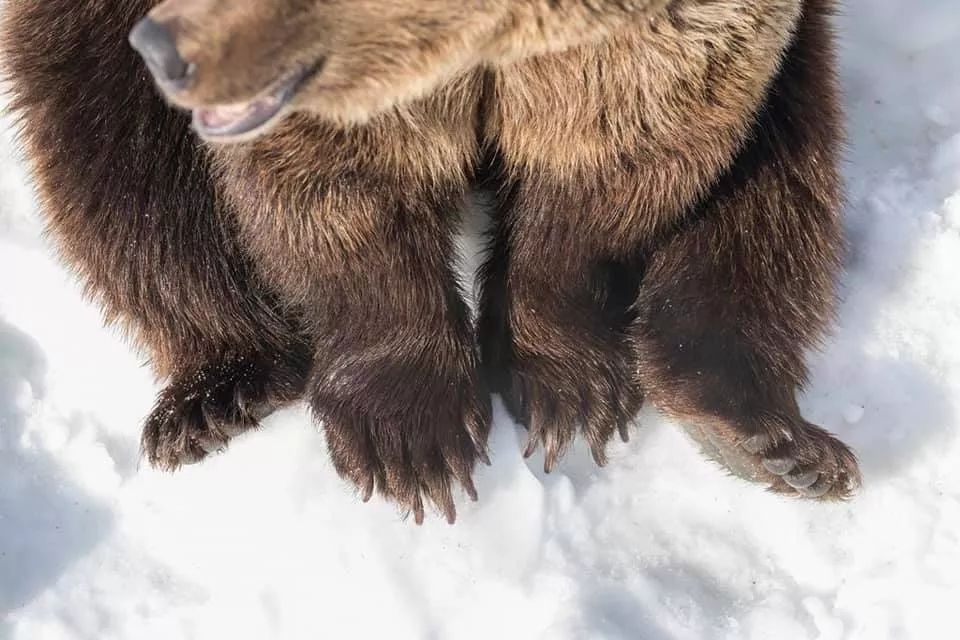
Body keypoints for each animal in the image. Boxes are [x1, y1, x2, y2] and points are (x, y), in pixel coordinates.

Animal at [0, 0, 864, 524]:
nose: (164, 49)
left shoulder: (680, 40)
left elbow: (624, 153)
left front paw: (565, 384)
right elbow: (342, 182)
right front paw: (411, 437)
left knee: (778, 187)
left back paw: (770, 439)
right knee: (113, 154)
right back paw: (217, 394)